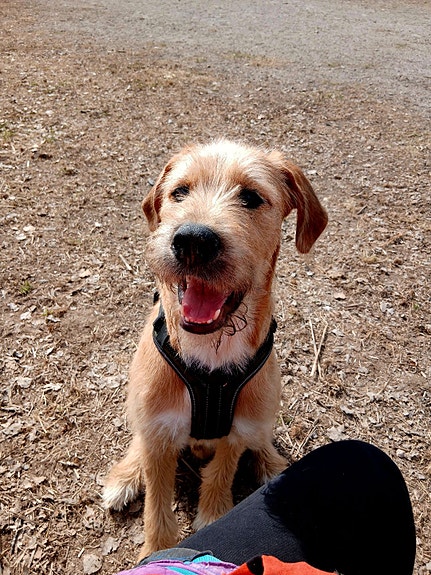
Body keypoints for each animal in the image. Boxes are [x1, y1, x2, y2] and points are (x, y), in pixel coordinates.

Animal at [103, 139, 328, 558]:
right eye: (179, 192)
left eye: (251, 197)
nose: (193, 241)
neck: (209, 354)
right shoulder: (158, 431)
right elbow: (157, 503)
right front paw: (157, 549)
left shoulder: (237, 431)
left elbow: (222, 472)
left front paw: (212, 515)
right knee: (138, 444)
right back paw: (124, 478)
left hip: (262, 411)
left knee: (259, 441)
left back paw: (272, 465)